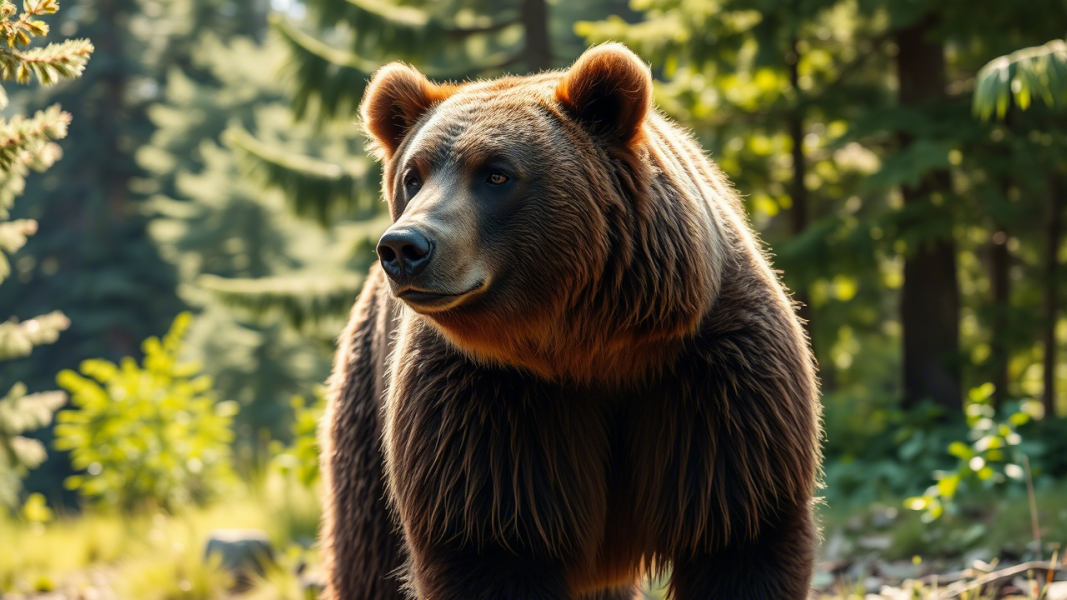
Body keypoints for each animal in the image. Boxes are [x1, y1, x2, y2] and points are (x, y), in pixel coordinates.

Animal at [319, 43, 822, 600]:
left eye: (496, 173)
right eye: (414, 175)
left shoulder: (714, 373)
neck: (591, 341)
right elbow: (489, 541)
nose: (404, 247)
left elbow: (740, 531)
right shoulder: (486, 399)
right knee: (371, 552)